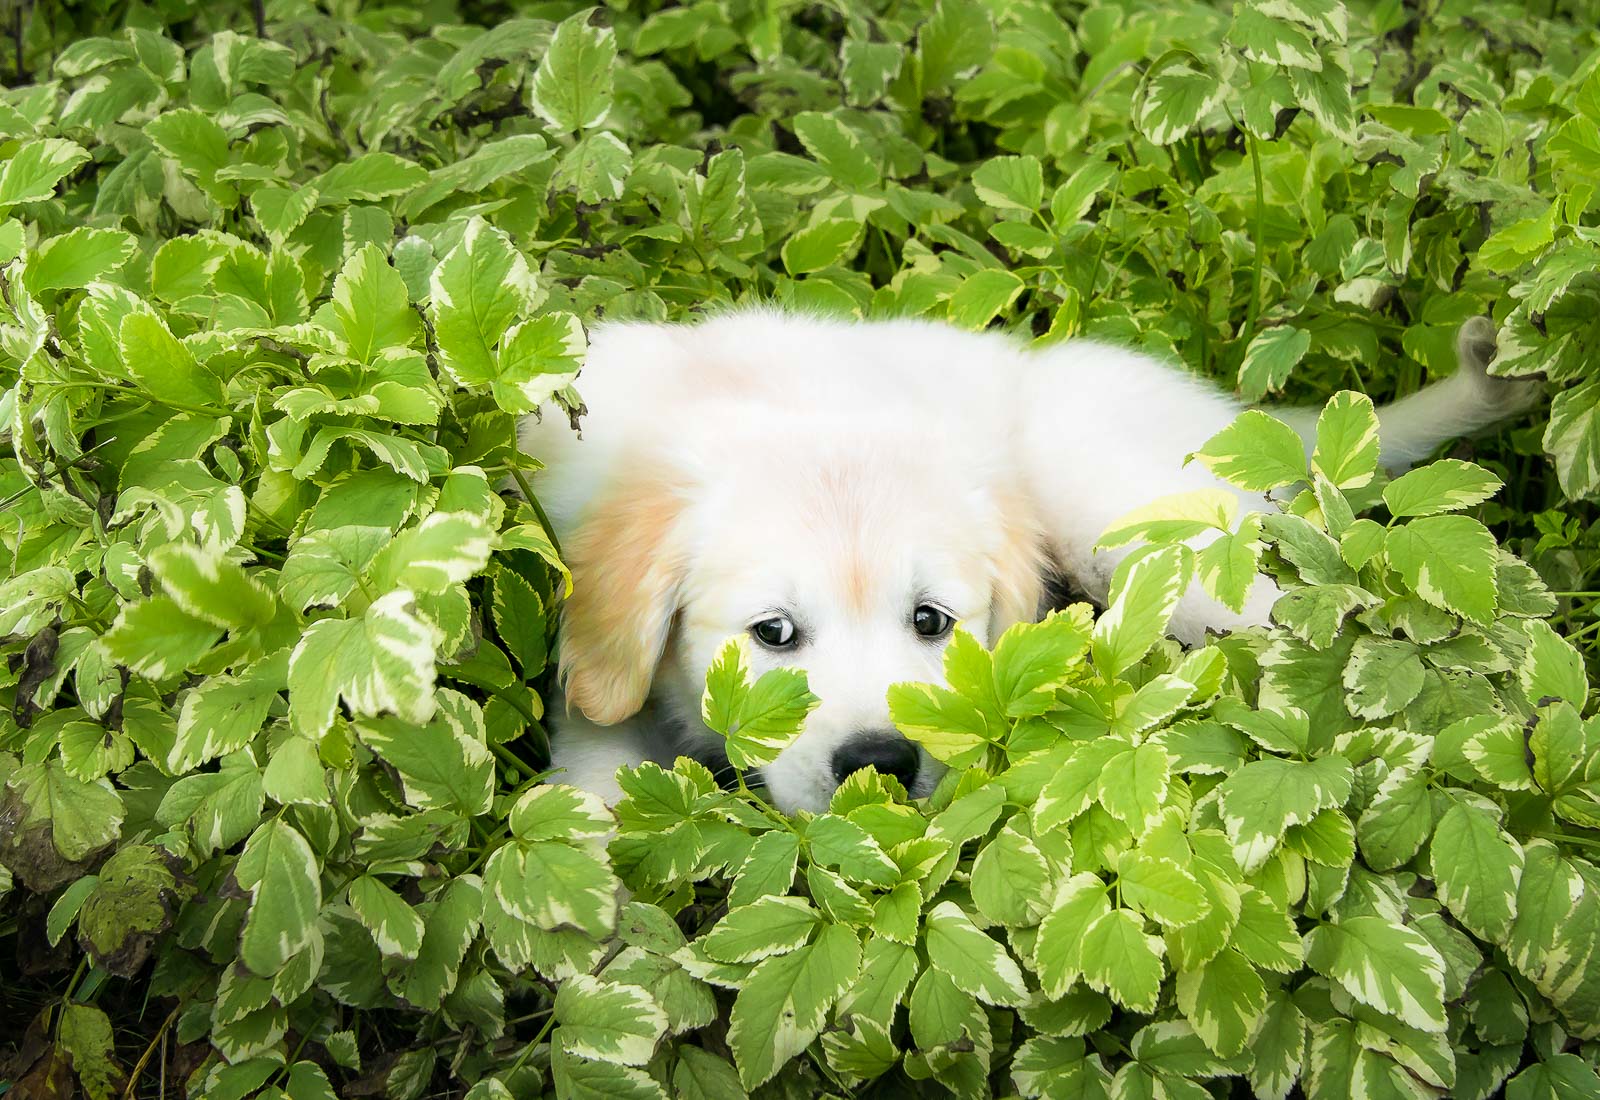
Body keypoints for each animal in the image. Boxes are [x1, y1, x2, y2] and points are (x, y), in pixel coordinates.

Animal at [521, 305, 1536, 812]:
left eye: (930, 621)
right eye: (772, 635)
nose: (881, 762)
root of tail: (1230, 422)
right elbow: (598, 749)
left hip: (1117, 505)